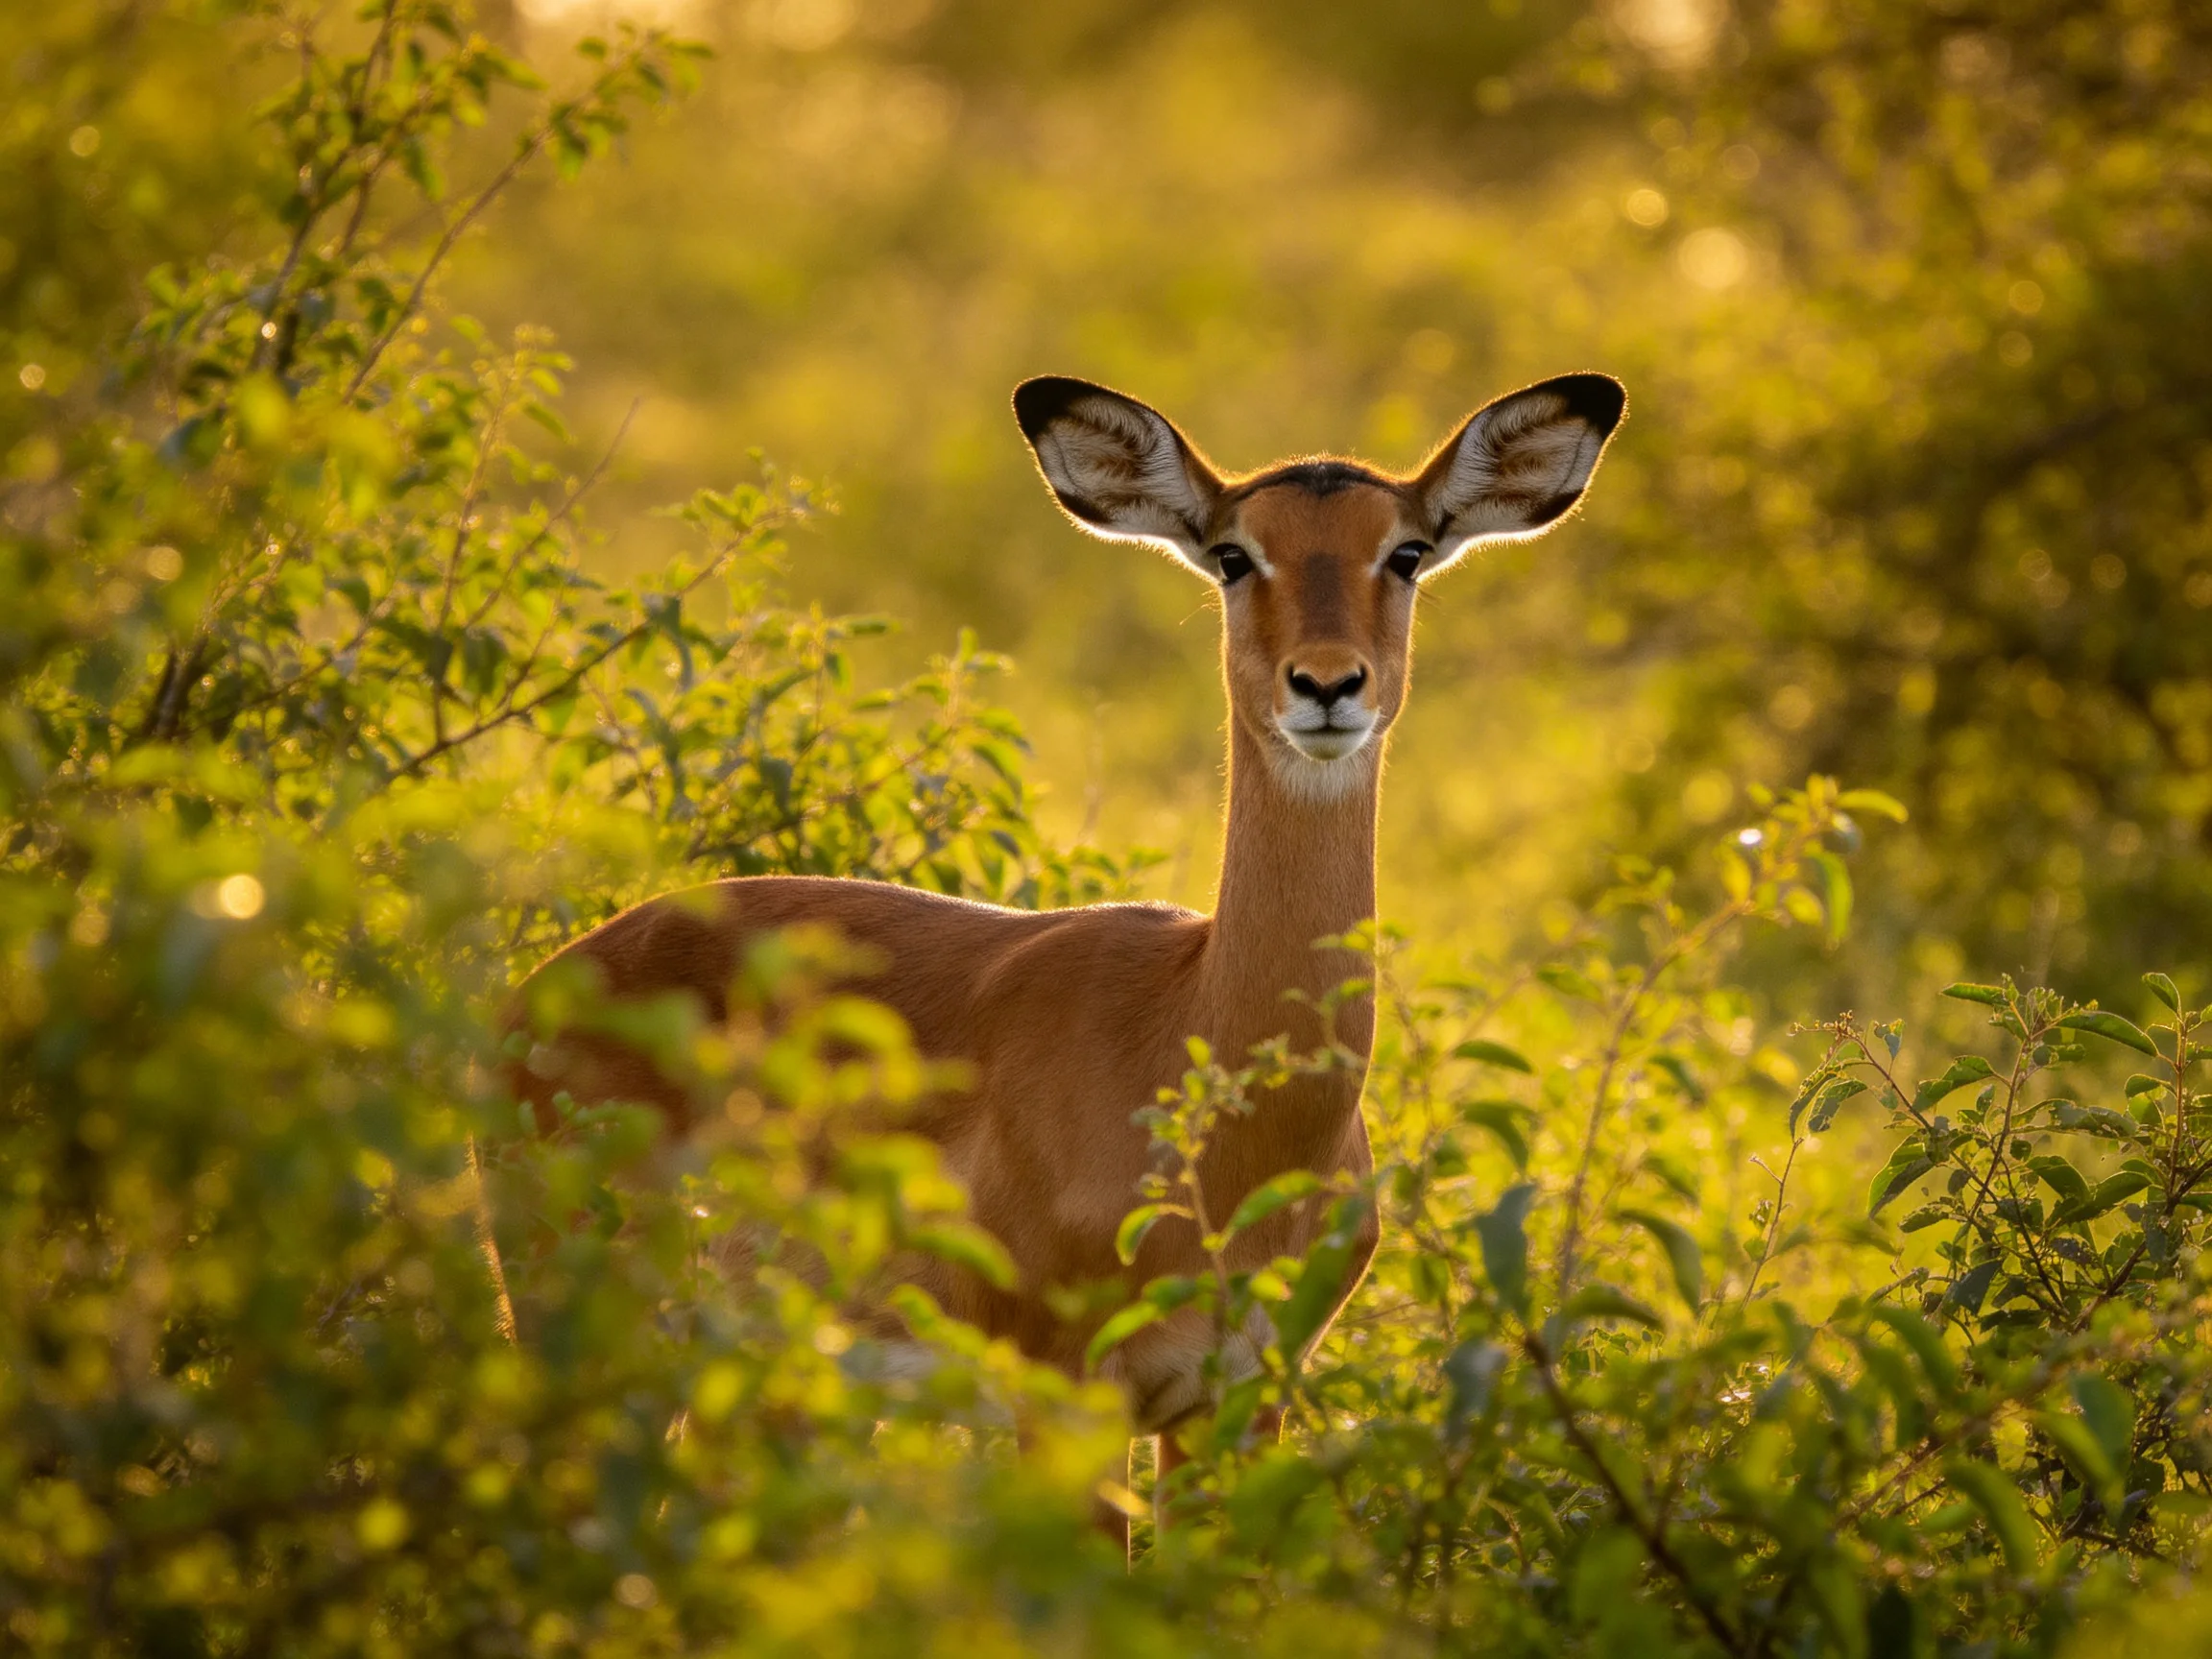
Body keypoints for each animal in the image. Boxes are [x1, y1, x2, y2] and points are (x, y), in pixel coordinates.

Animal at [506, 370, 1625, 1536]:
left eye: (1404, 551)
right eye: (1235, 554)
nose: (1326, 685)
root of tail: (531, 996)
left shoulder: (1237, 1404)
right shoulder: (1069, 1400)